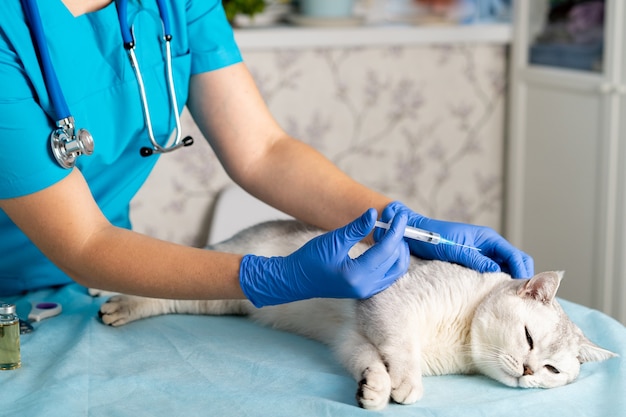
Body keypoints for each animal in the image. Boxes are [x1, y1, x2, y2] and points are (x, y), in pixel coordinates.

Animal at [97, 219, 616, 408]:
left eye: (550, 370)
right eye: (528, 338)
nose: (527, 371)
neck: (463, 338)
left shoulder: (354, 336)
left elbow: (369, 362)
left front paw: (374, 390)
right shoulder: (390, 309)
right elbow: (402, 354)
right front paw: (405, 386)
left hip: (223, 299)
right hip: (228, 272)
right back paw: (116, 302)